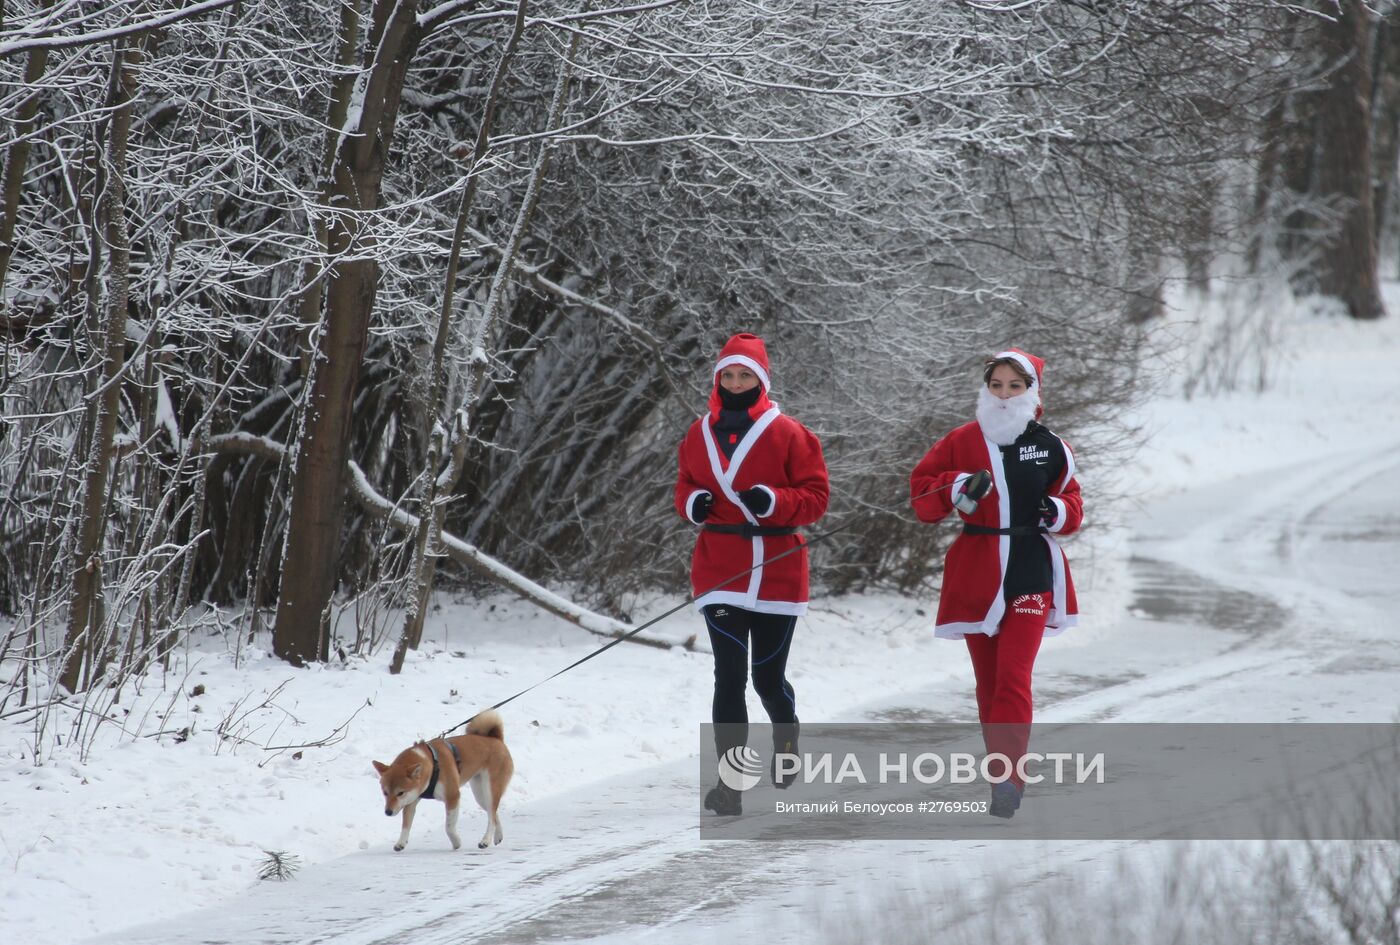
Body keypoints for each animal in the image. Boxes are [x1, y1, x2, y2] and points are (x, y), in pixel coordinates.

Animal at [372, 714, 515, 851]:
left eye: (400, 793)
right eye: (385, 793)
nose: (388, 812)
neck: (431, 764)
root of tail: (496, 739)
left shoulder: (452, 796)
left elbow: (449, 827)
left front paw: (456, 842)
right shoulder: (411, 800)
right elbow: (406, 825)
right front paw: (401, 843)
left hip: (490, 789)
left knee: (491, 817)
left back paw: (485, 840)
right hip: (480, 794)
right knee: (494, 813)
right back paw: (497, 836)